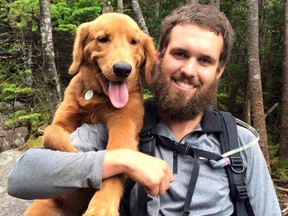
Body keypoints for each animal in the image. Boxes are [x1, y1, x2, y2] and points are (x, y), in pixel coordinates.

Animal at [24, 12, 155, 216]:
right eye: (103, 39)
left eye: (134, 42)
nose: (123, 69)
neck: (96, 96)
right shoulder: (63, 119)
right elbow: (52, 133)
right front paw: (79, 161)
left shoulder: (124, 122)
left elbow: (118, 159)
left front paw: (102, 206)